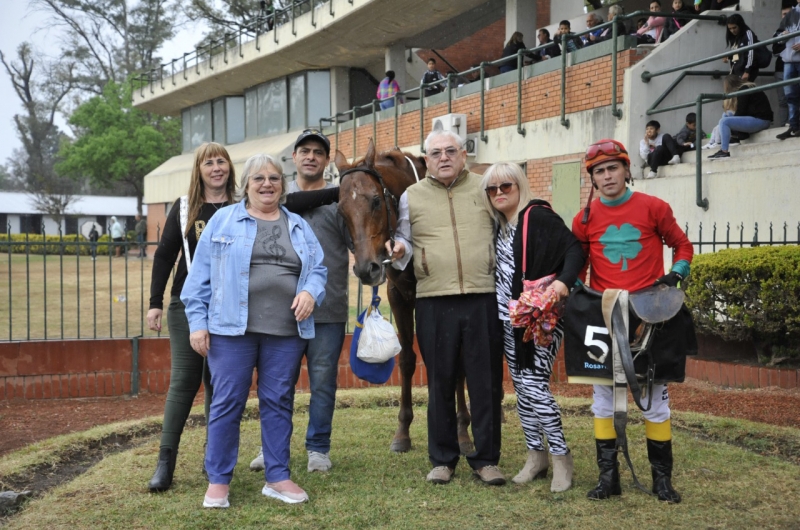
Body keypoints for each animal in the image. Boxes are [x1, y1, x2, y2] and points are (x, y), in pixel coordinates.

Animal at [332, 138, 476, 452]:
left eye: (375, 200)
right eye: (341, 210)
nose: (366, 269)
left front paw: (461, 431)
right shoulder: (399, 296)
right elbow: (408, 359)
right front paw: (403, 431)